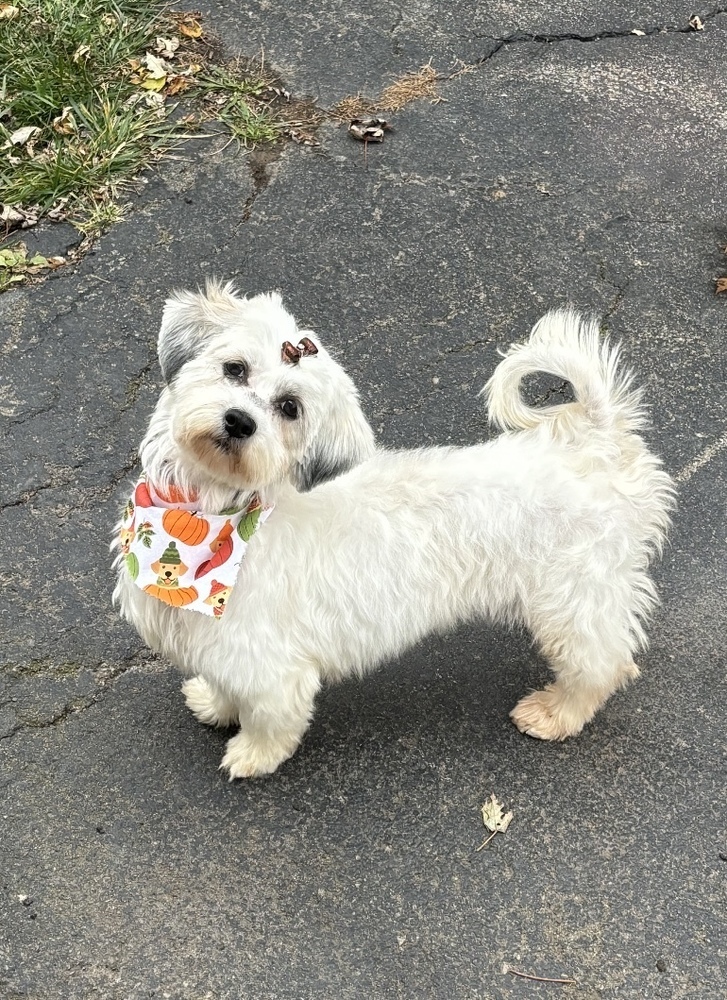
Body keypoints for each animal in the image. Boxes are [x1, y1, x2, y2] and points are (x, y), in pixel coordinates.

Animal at [111, 282, 672, 780]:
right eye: (234, 368)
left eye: (290, 407)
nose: (239, 421)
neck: (213, 517)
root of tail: (596, 442)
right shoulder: (221, 649)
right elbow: (225, 687)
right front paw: (214, 702)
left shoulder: (271, 668)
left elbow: (271, 721)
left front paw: (252, 754)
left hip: (572, 600)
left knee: (602, 661)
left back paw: (557, 712)